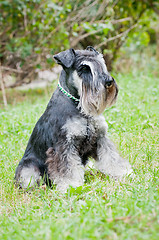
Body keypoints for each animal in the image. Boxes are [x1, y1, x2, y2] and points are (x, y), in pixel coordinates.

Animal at [14, 46, 132, 191]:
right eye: (84, 68)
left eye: (101, 63)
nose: (108, 82)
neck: (78, 105)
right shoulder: (64, 145)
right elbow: (67, 168)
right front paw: (71, 186)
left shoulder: (101, 139)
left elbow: (111, 157)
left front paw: (122, 172)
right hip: (28, 167)